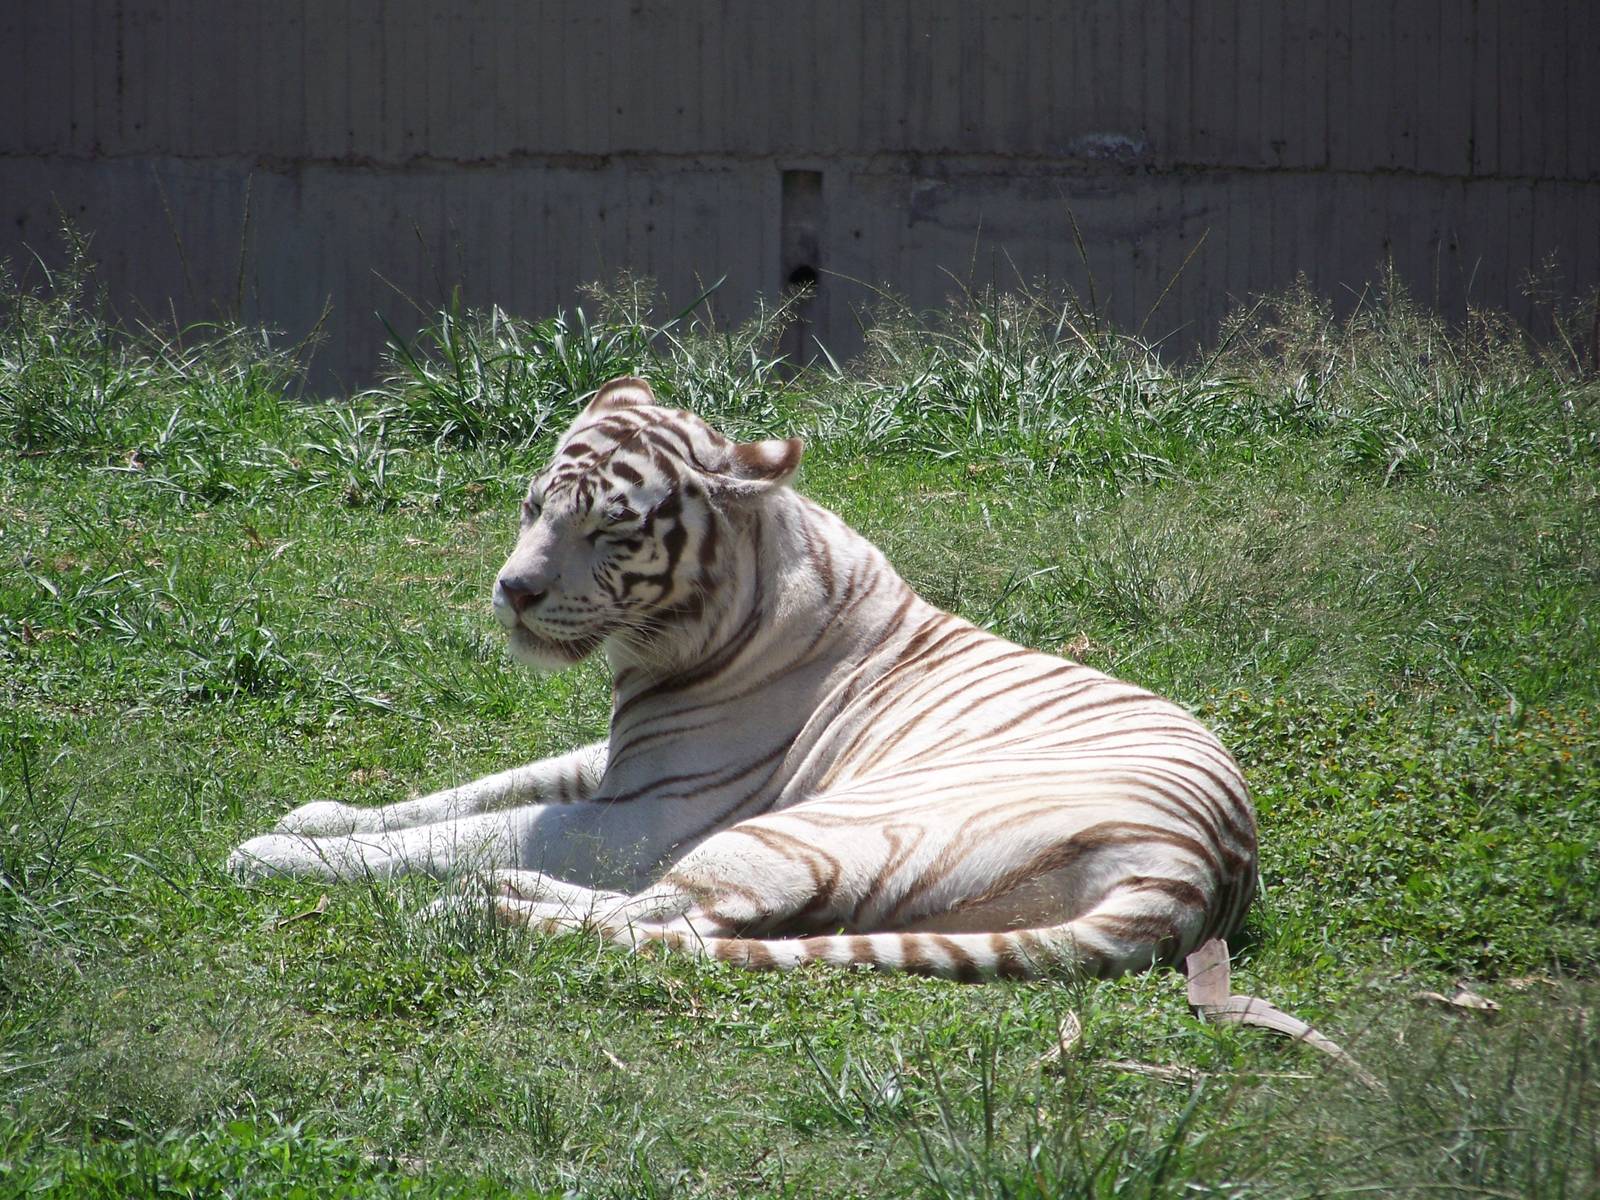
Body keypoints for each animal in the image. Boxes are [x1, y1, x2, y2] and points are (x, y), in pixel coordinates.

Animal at [228, 376, 1258, 982]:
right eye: (531, 507)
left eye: (609, 529)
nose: (513, 591)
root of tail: (1196, 865)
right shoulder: (618, 765)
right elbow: (469, 791)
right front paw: (317, 816)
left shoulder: (639, 813)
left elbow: (461, 832)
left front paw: (273, 852)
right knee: (695, 921)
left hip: (820, 823)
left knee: (677, 914)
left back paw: (480, 904)